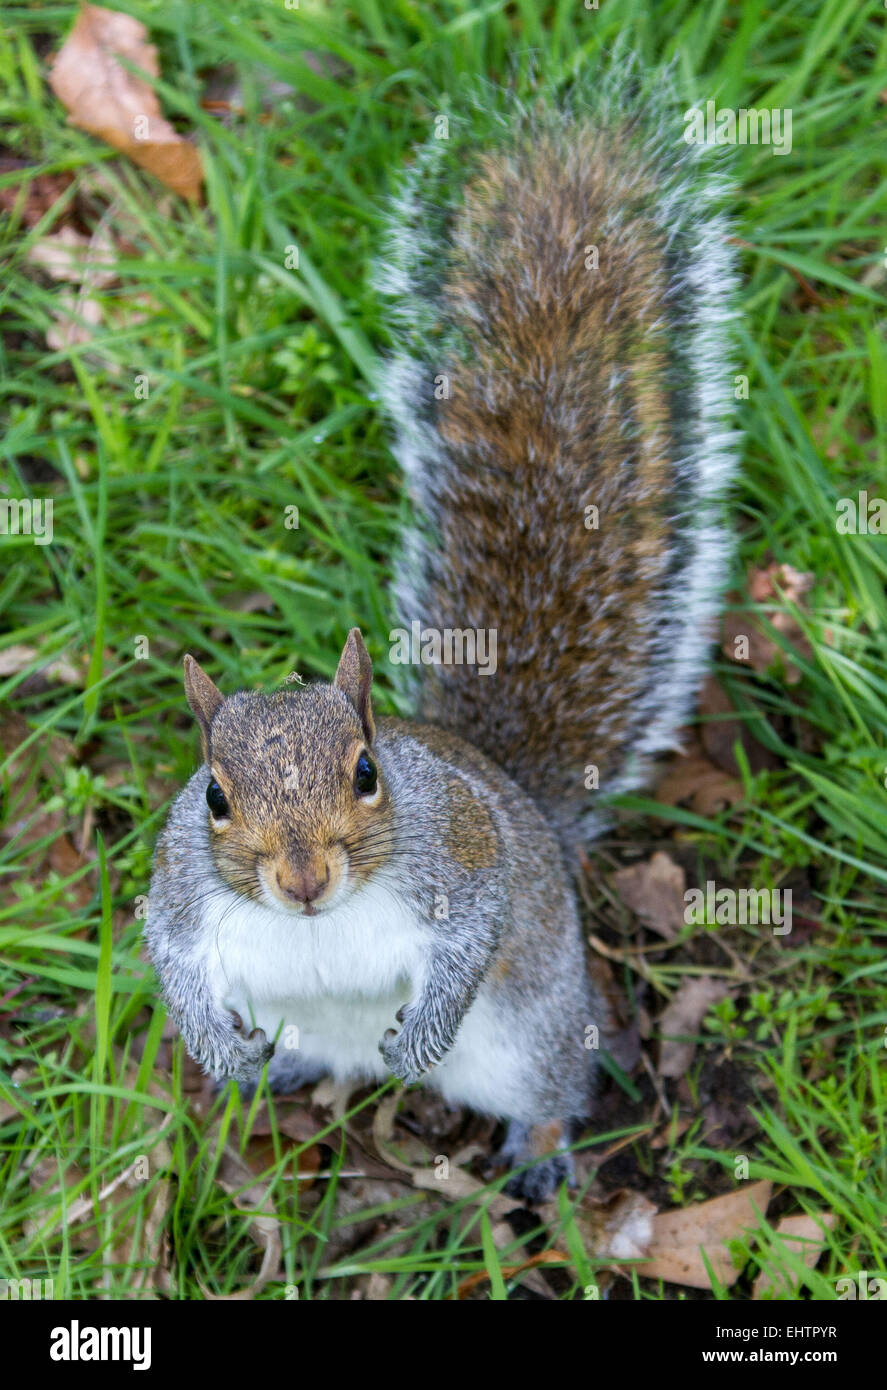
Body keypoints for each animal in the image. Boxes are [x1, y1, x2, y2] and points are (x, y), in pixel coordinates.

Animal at [147, 59, 745, 1200]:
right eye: (213, 796)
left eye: (367, 772)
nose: (301, 881)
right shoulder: (184, 893)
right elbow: (170, 954)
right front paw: (213, 1044)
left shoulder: (465, 861)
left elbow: (468, 941)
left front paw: (421, 1032)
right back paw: (277, 1067)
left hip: (529, 1030)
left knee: (555, 1081)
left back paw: (540, 1153)